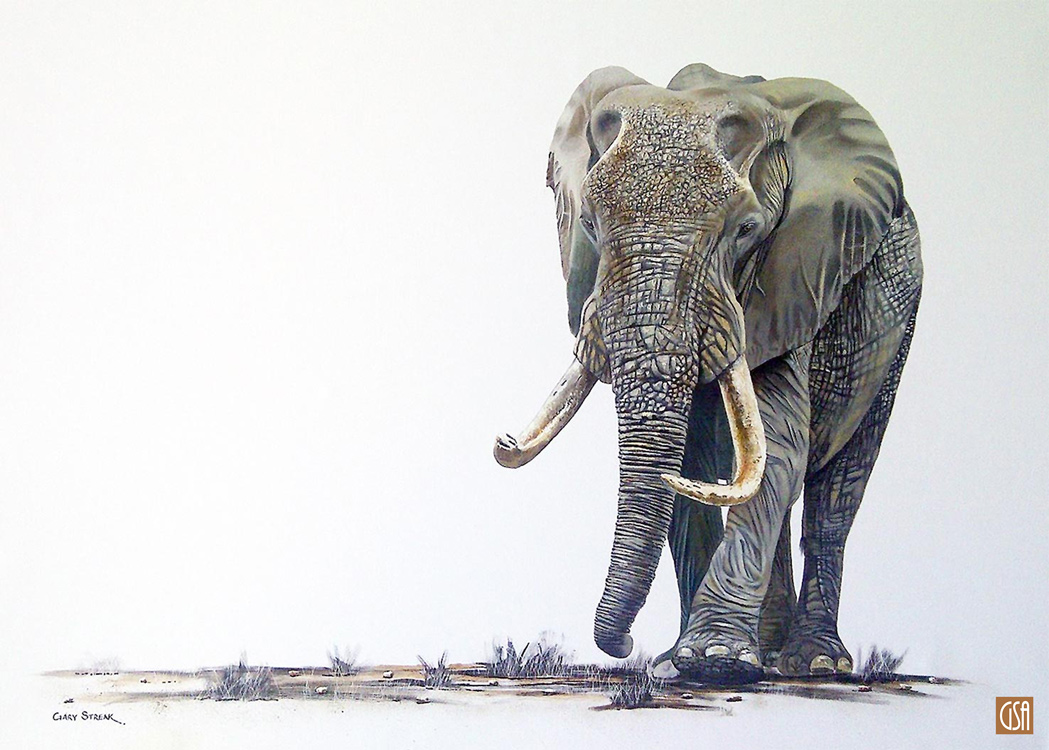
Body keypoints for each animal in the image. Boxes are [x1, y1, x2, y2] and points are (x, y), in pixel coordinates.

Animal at [494, 63, 922, 684]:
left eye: (745, 230)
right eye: (591, 225)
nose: (623, 647)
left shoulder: (795, 274)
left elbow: (780, 446)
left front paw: (715, 662)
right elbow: (692, 463)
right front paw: (680, 666)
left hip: (897, 321)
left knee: (837, 487)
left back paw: (813, 662)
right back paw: (767, 655)